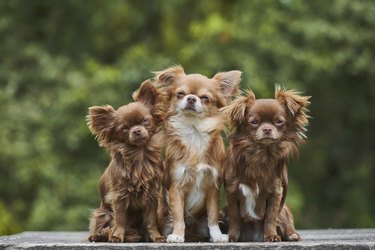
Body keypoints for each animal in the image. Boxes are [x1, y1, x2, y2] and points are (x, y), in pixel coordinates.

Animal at [88, 79, 166, 242]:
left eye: (145, 121)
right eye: (124, 129)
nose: (136, 130)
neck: (139, 155)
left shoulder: (152, 195)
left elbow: (150, 221)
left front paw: (156, 237)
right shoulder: (119, 196)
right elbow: (120, 219)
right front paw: (116, 236)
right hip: (102, 214)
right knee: (102, 226)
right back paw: (98, 236)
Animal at [155, 65, 241, 242]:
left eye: (205, 98)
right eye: (180, 94)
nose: (191, 99)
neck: (194, 132)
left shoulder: (213, 186)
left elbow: (213, 216)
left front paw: (217, 235)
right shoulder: (176, 186)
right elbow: (178, 215)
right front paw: (177, 235)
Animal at [223, 86, 312, 242]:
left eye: (279, 121)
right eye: (253, 122)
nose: (267, 129)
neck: (261, 155)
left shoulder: (276, 193)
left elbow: (270, 216)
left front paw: (271, 235)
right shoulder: (232, 191)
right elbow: (235, 218)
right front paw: (232, 236)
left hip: (284, 209)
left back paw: (292, 235)